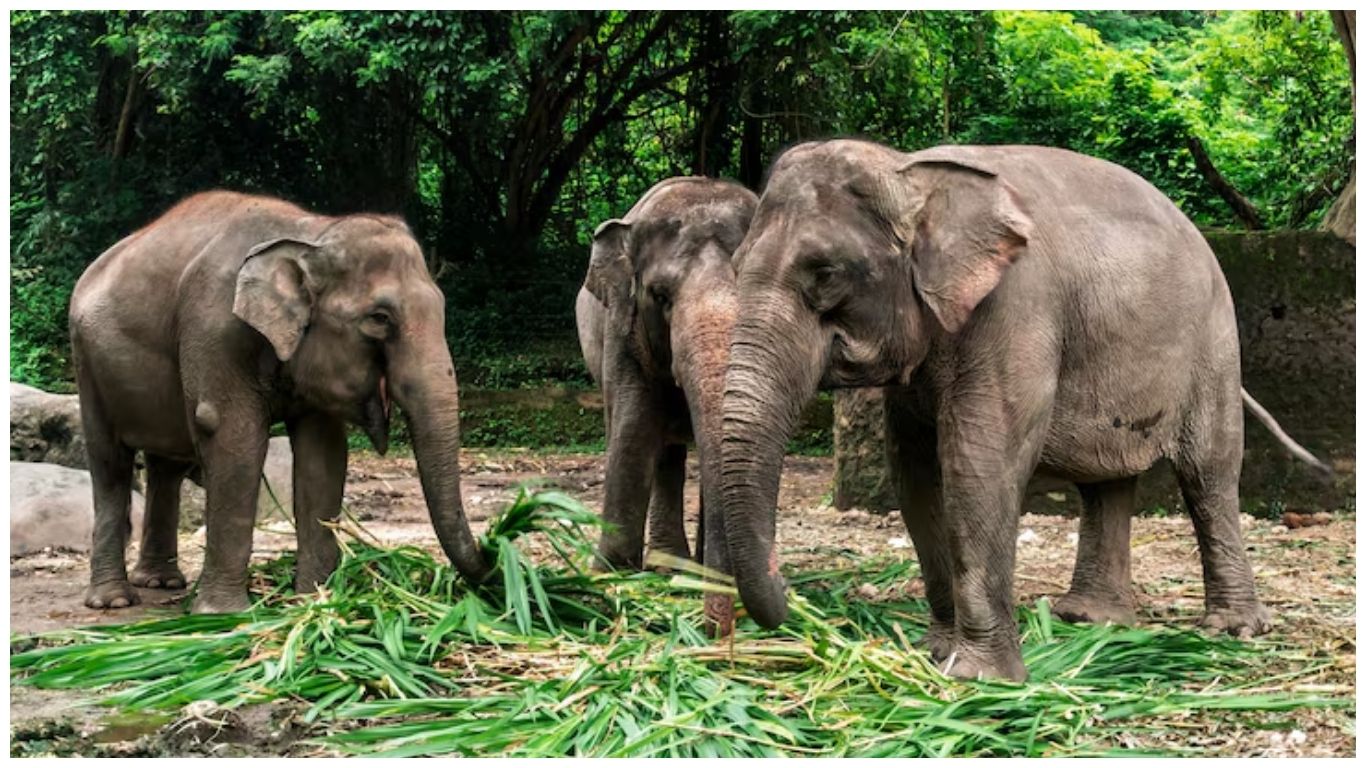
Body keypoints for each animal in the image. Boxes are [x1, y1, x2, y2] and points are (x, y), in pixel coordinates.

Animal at [69, 191, 489, 614]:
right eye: (380, 318)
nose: (493, 549)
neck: (311, 232)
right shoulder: (214, 329)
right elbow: (231, 438)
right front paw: (224, 615)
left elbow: (323, 456)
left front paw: (314, 601)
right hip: (87, 364)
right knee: (110, 465)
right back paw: (113, 601)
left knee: (165, 467)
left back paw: (161, 581)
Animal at [715, 139, 1326, 681]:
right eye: (737, 266)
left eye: (827, 274)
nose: (787, 603)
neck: (910, 171)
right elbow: (914, 470)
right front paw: (938, 652)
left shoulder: (1015, 309)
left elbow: (977, 463)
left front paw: (979, 678)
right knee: (1108, 481)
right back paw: (1092, 620)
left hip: (1215, 343)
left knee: (1209, 471)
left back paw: (1233, 629)